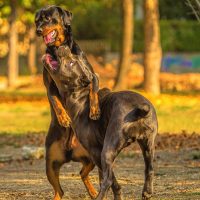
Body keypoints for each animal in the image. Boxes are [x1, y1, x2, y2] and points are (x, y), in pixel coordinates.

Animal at [43, 45, 158, 200]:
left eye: (71, 63)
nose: (64, 47)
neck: (79, 97)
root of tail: (138, 110)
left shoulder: (96, 152)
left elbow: (111, 180)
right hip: (148, 145)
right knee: (149, 169)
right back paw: (147, 192)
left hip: (107, 151)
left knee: (107, 180)